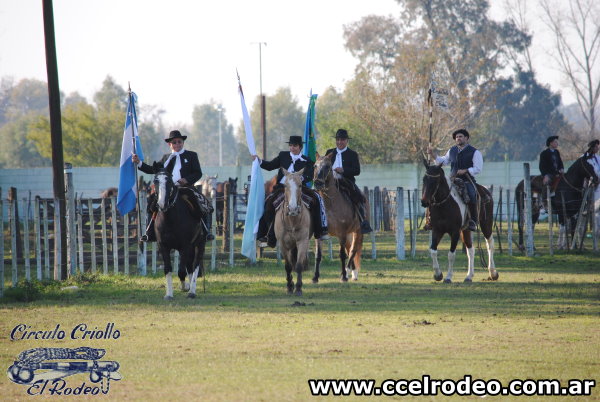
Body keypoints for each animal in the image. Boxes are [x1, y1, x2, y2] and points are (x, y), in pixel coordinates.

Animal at [276, 168, 314, 296]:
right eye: (285, 185)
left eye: (300, 185)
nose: (293, 209)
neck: (292, 221)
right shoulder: (283, 243)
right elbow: (288, 266)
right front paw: (289, 286)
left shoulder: (302, 241)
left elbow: (298, 265)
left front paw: (298, 288)